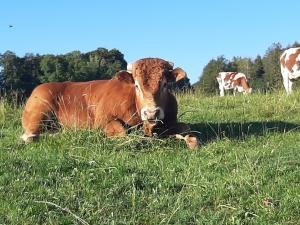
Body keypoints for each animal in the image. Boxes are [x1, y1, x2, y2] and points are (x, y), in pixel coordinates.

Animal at [21, 58, 199, 149]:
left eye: (165, 84)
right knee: (29, 137)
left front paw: (190, 140)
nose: (151, 113)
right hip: (38, 115)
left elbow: (186, 128)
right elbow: (121, 133)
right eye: (136, 85)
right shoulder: (102, 122)